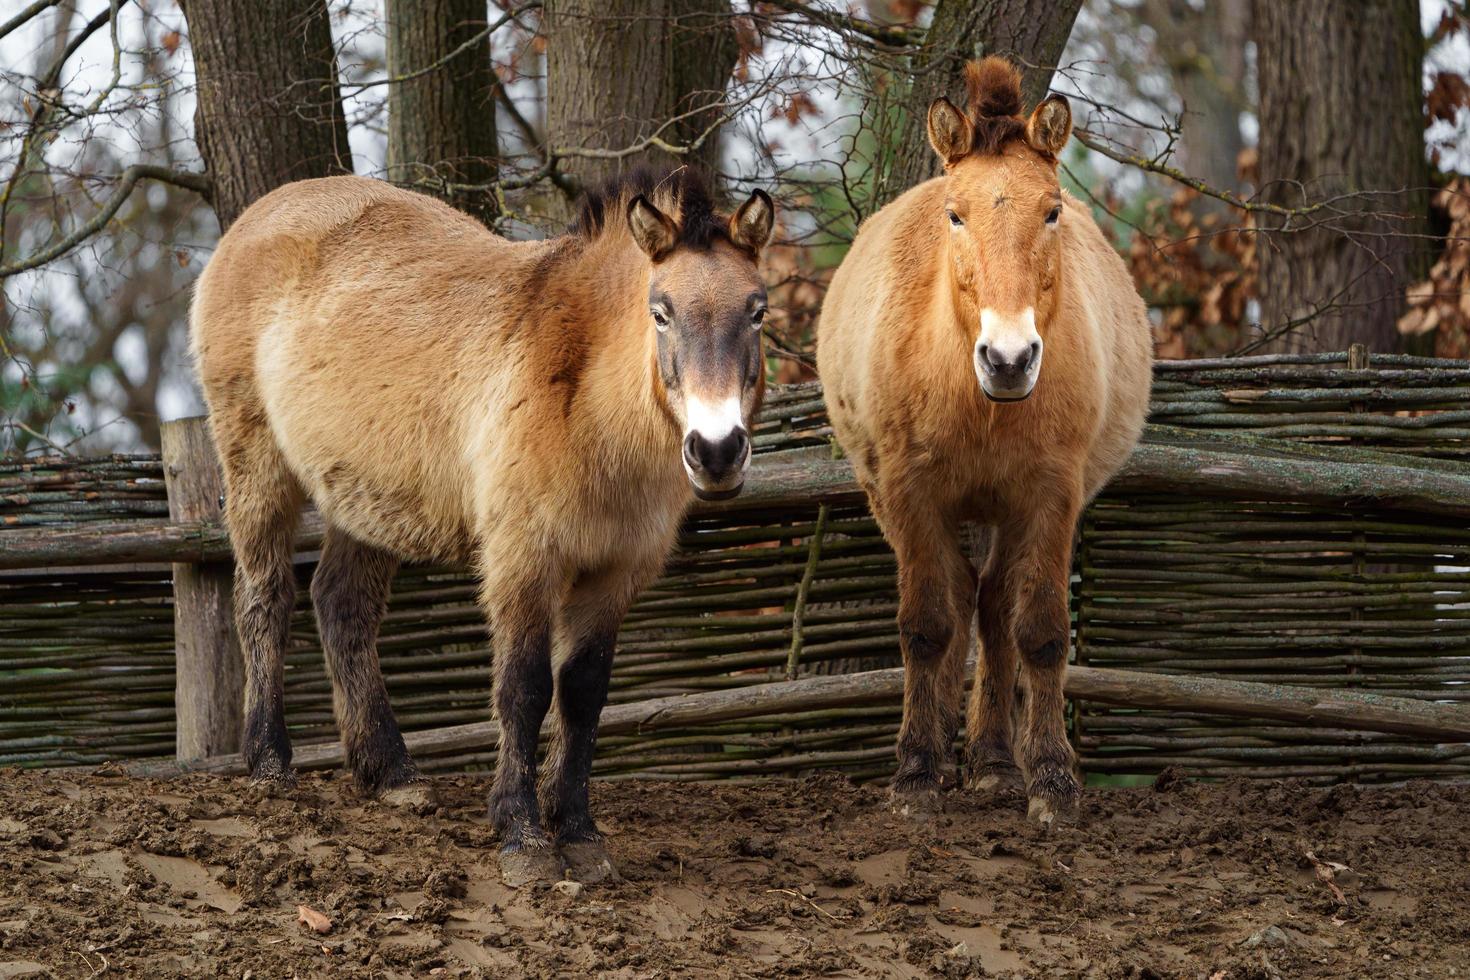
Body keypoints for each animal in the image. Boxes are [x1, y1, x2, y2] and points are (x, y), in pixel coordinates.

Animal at [189, 170, 776, 887]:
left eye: (757, 310)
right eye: (660, 311)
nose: (717, 451)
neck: (586, 400)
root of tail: (259, 216)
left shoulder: (615, 573)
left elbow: (583, 693)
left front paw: (578, 832)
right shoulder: (523, 560)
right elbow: (524, 689)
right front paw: (523, 837)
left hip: (362, 498)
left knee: (340, 604)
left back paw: (391, 772)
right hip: (257, 464)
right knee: (265, 597)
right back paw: (270, 761)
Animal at [823, 59, 1152, 828]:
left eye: (1053, 211)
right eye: (955, 214)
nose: (1008, 358)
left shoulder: (1051, 498)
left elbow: (1041, 632)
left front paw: (1052, 780)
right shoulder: (911, 492)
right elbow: (925, 624)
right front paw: (916, 772)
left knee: (994, 607)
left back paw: (995, 761)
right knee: (955, 598)